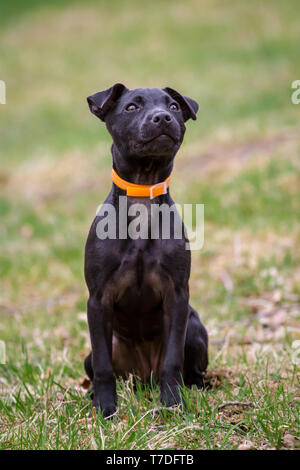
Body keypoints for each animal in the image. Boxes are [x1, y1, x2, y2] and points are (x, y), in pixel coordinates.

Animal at [83, 82, 207, 416]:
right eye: (131, 107)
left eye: (174, 107)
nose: (163, 117)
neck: (142, 194)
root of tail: (144, 375)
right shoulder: (98, 299)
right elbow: (103, 366)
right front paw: (105, 407)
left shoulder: (177, 296)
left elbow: (173, 362)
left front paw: (173, 402)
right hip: (92, 355)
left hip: (194, 330)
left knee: (190, 369)